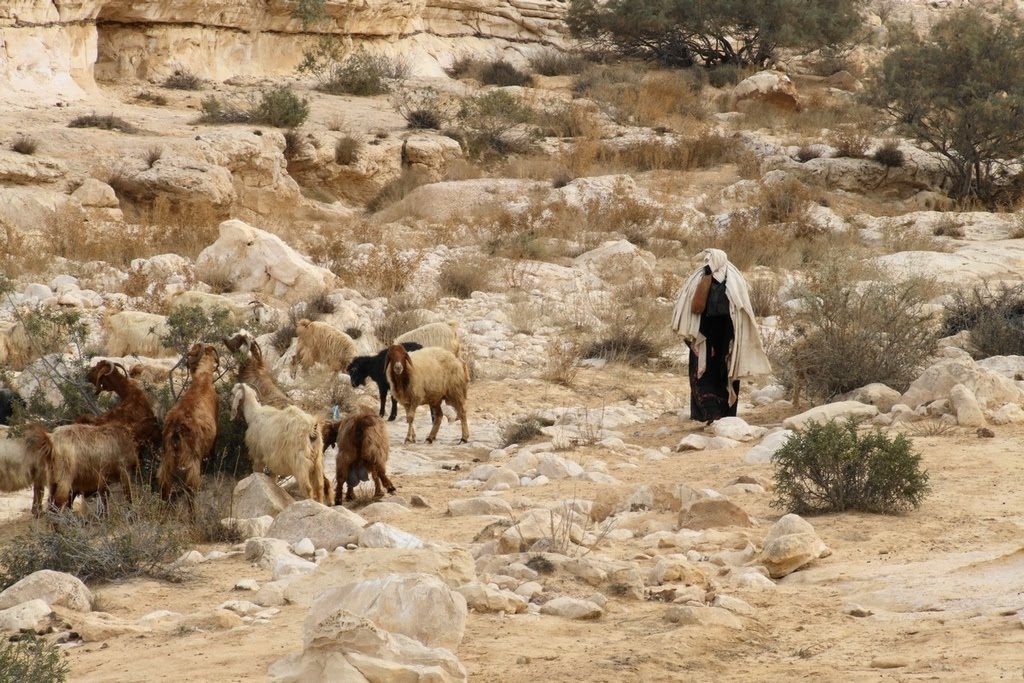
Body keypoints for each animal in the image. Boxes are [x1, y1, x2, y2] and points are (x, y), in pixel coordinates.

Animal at [157, 344, 218, 505]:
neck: (202, 380)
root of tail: (176, 429)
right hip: (192, 462)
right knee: (190, 492)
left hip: (167, 461)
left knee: (165, 489)